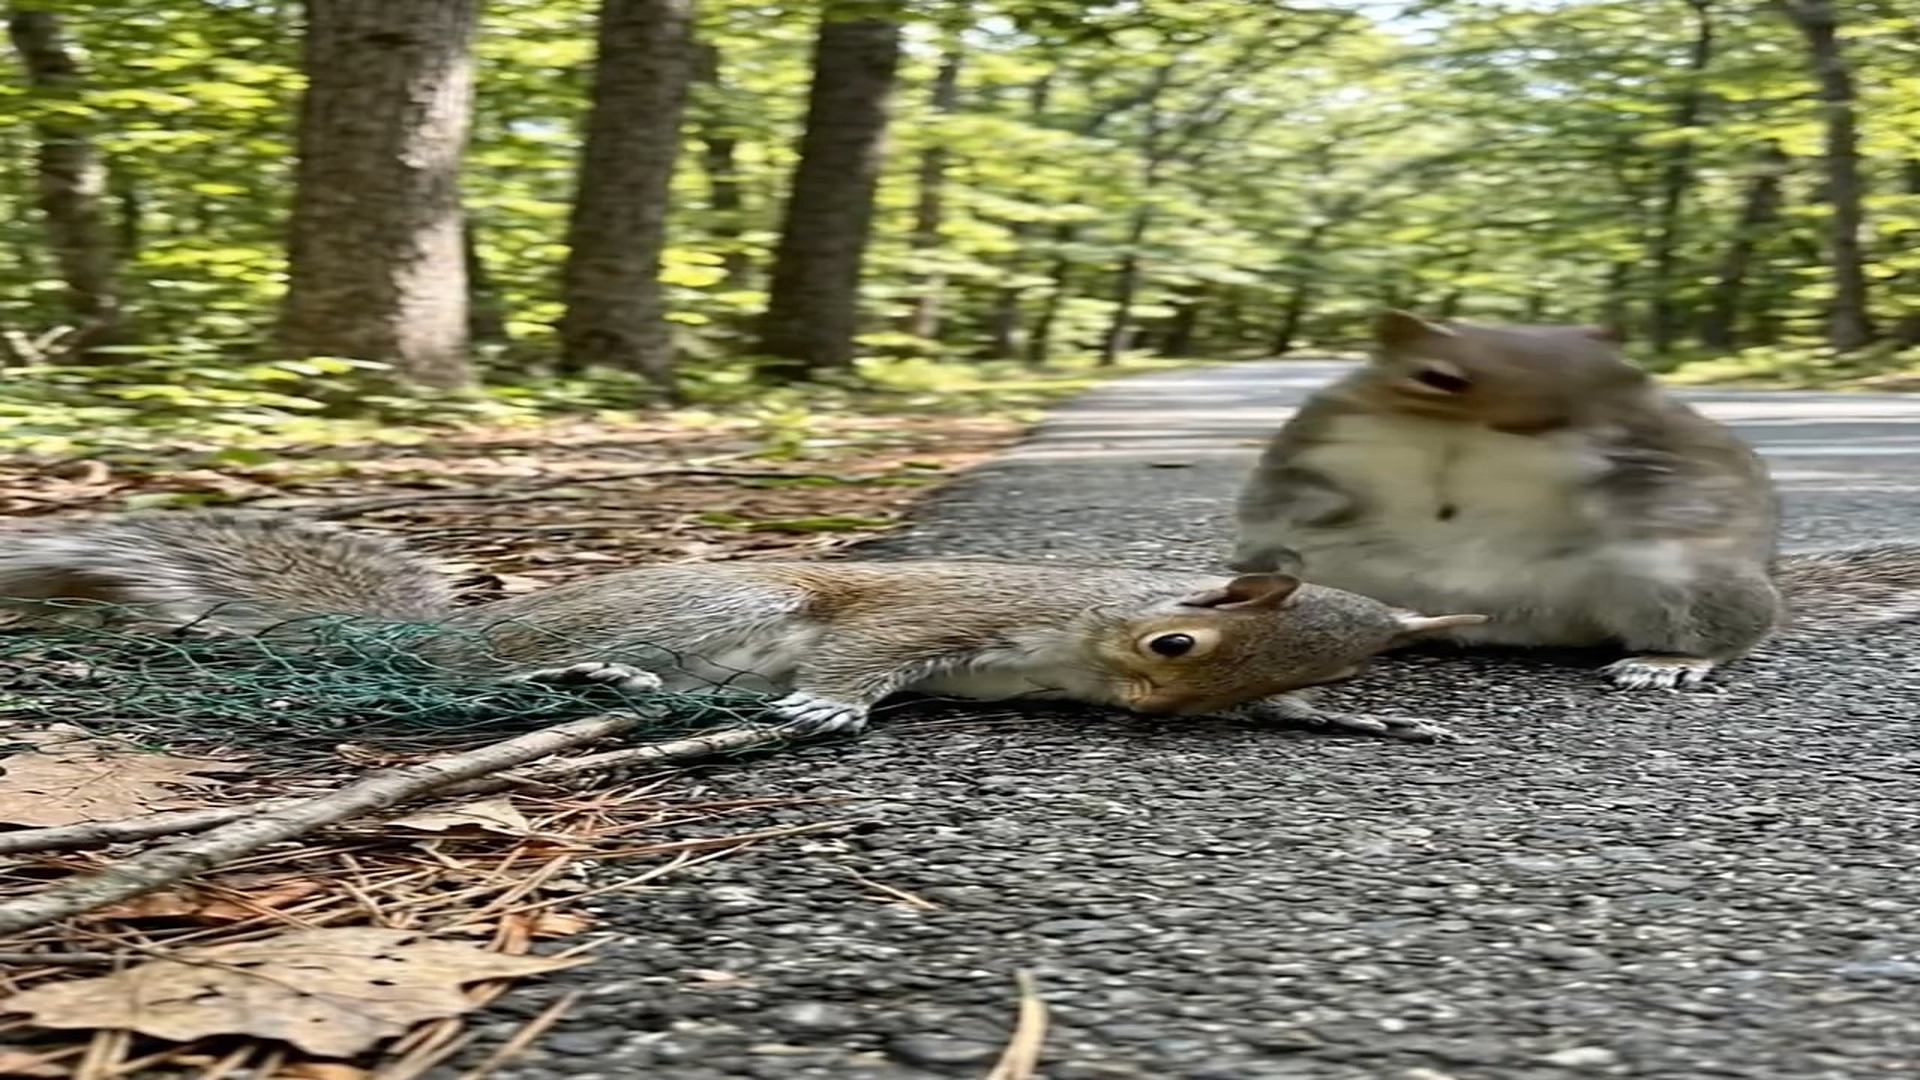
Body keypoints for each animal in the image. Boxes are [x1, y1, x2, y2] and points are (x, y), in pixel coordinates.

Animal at [1230, 308, 1920, 689]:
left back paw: (1663, 661)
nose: (1532, 424)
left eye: (1623, 375)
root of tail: (1509, 625)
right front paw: (1284, 525)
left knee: (1726, 636)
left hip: (1690, 586)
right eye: (1437, 376)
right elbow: (1285, 489)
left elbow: (1689, 486)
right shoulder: (1324, 436)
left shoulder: (1672, 450)